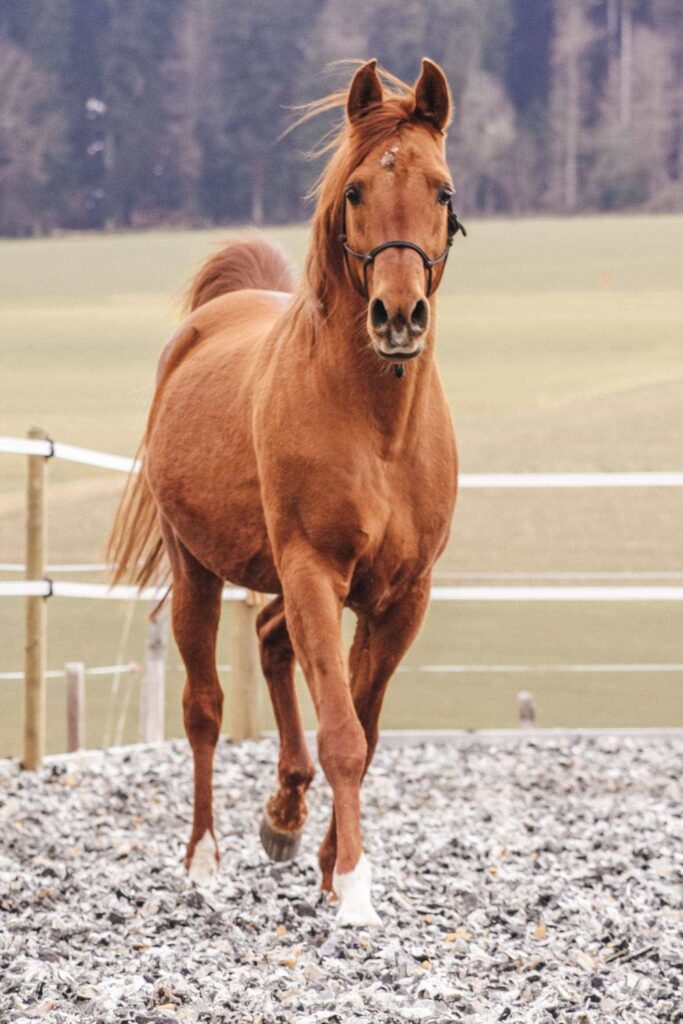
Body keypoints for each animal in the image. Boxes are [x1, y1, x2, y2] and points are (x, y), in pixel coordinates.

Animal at [108, 58, 463, 927]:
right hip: (197, 571)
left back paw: (284, 817)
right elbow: (342, 732)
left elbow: (364, 729)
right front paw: (356, 887)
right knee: (204, 707)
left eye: (440, 190)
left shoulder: (400, 595)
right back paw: (204, 860)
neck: (376, 424)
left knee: (270, 641)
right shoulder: (311, 572)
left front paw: (331, 865)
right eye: (356, 191)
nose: (397, 316)